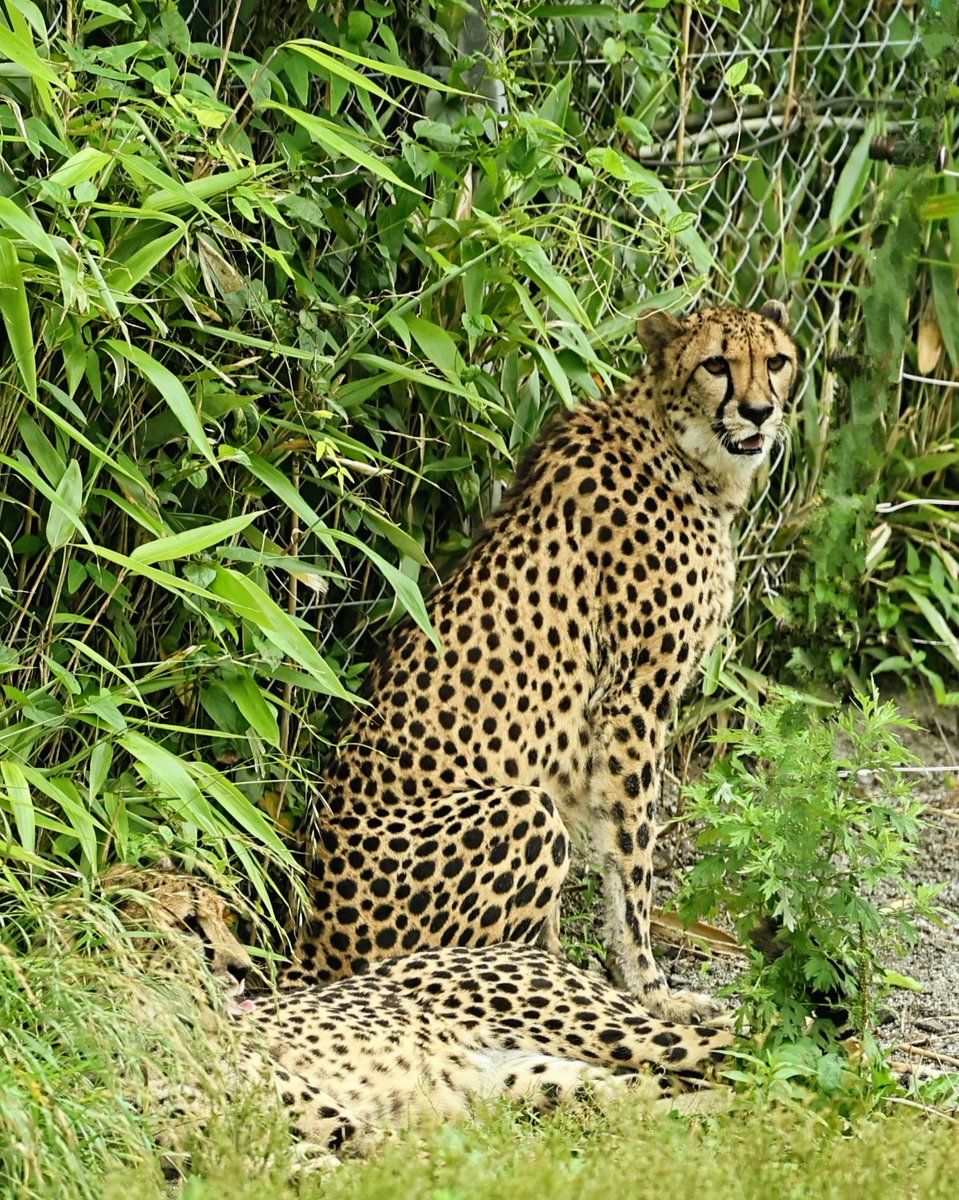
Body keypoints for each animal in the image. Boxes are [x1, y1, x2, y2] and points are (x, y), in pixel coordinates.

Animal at [119, 865, 733, 1155]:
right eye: (188, 923)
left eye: (225, 917)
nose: (244, 968)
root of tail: (523, 945)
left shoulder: (336, 1122)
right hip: (539, 1082)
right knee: (658, 1092)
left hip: (597, 1029)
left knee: (728, 1047)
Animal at [286, 301, 800, 1025]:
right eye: (716, 364)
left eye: (775, 361)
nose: (758, 412)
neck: (682, 453)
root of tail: (309, 940)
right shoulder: (631, 704)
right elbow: (631, 859)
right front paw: (650, 987)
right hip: (524, 808)